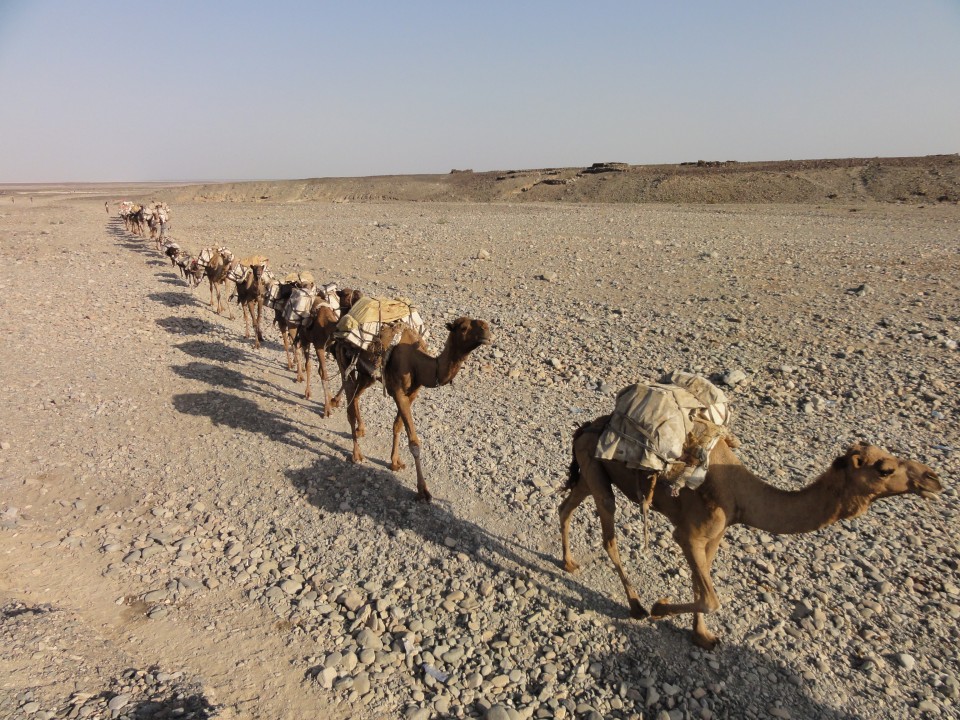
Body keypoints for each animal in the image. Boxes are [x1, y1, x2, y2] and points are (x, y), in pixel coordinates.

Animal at [334, 318, 492, 504]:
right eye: (464, 328)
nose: (487, 331)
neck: (418, 363)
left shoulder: (413, 393)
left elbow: (397, 426)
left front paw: (395, 462)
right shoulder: (398, 392)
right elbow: (414, 442)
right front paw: (423, 491)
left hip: (368, 373)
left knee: (356, 396)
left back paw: (360, 430)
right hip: (344, 360)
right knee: (349, 406)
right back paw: (356, 454)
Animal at [564, 414, 944, 648]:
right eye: (885, 468)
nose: (933, 478)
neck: (742, 493)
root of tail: (583, 429)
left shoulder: (714, 534)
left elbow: (702, 583)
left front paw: (702, 637)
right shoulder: (690, 533)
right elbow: (711, 598)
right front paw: (659, 607)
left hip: (588, 473)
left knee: (565, 506)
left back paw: (569, 563)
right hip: (597, 473)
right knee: (609, 537)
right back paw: (636, 606)